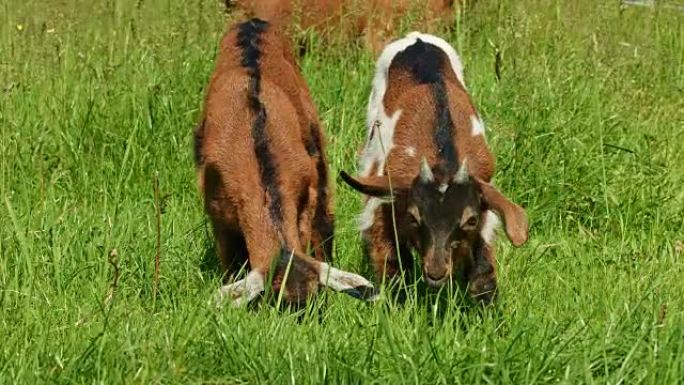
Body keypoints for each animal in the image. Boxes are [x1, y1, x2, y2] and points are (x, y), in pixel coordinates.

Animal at [340, 32, 528, 304]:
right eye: (413, 217)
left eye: (471, 220)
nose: (436, 271)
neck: (441, 157)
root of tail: (417, 38)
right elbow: (390, 257)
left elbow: (483, 270)